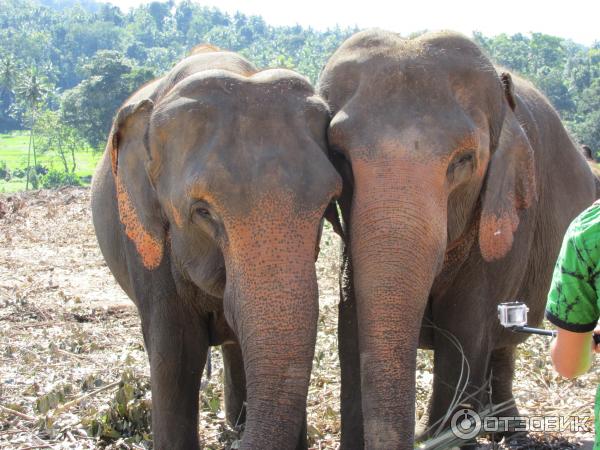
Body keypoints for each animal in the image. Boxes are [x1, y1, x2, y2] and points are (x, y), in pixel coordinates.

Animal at [316, 29, 596, 448]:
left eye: (463, 160)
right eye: (338, 155)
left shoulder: (507, 223)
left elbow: (465, 329)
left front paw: (447, 435)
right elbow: (350, 326)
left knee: (500, 345)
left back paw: (505, 430)